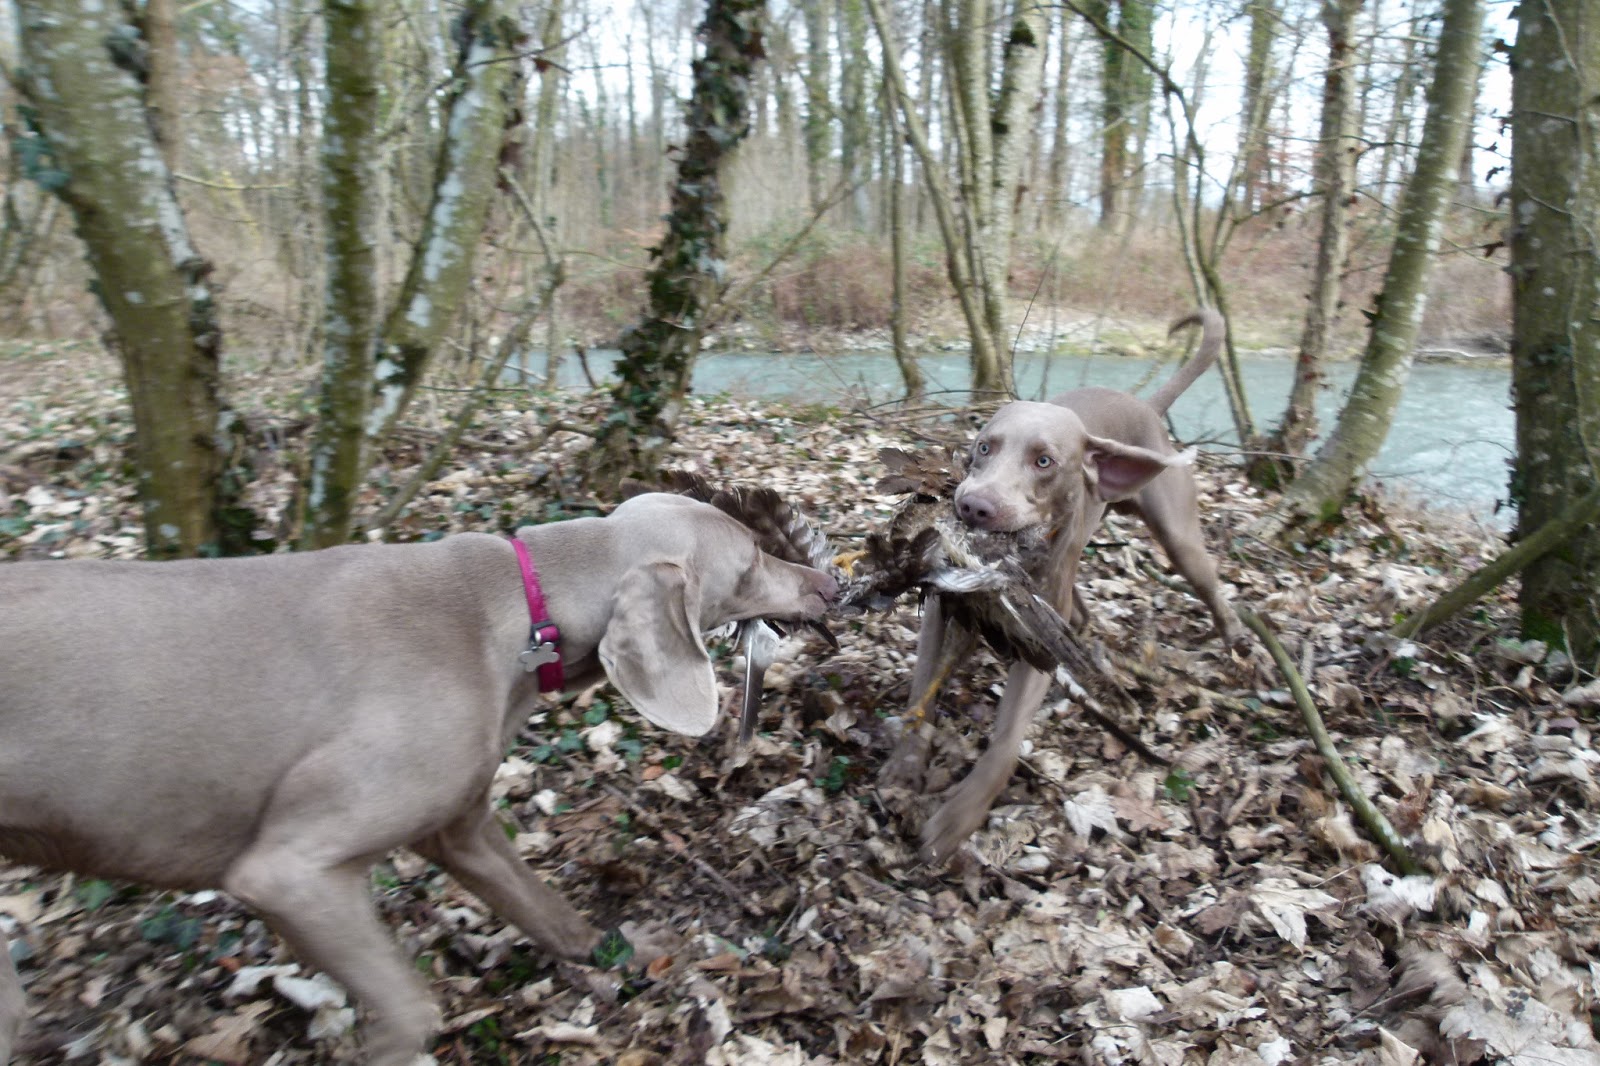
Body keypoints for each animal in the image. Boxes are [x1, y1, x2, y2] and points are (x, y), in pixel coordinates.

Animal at [0, 492, 837, 1064]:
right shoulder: (287, 872)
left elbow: (551, 913)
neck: (520, 612)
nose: (828, 585)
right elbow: (412, 1011)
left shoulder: (462, 828)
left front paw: (621, 954)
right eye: (750, 560)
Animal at [887, 309, 1244, 862]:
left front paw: (958, 817)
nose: (972, 506)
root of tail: (1145, 408)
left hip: (1178, 538)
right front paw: (905, 763)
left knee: (1209, 586)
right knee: (1079, 607)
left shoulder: (1039, 641)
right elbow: (924, 681)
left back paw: (1236, 643)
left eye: (1044, 461)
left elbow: (1007, 740)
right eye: (983, 448)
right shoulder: (945, 608)